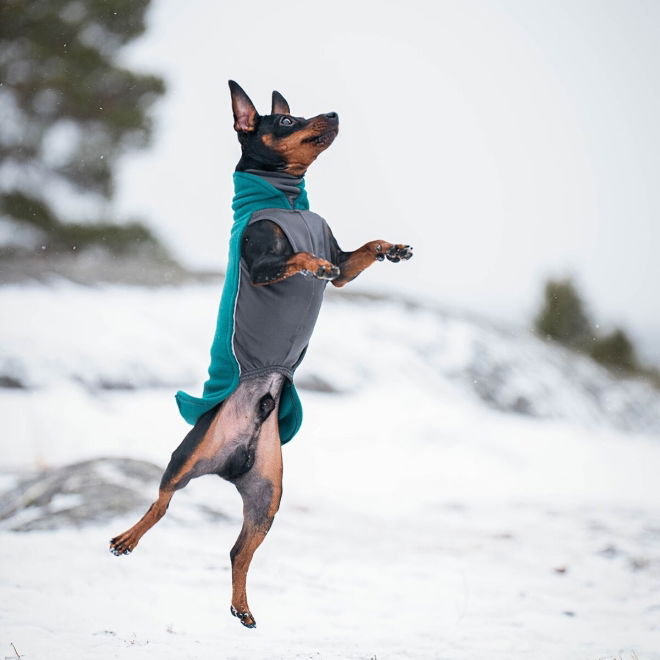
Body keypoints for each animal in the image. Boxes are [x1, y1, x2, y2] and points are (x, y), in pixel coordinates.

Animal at [111, 82, 416, 628]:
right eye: (289, 120)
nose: (334, 112)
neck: (289, 199)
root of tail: (233, 459)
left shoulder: (344, 267)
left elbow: (362, 248)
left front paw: (391, 247)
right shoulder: (261, 266)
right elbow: (298, 258)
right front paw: (311, 262)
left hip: (267, 497)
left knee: (238, 551)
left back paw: (242, 606)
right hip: (187, 456)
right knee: (162, 502)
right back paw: (128, 538)